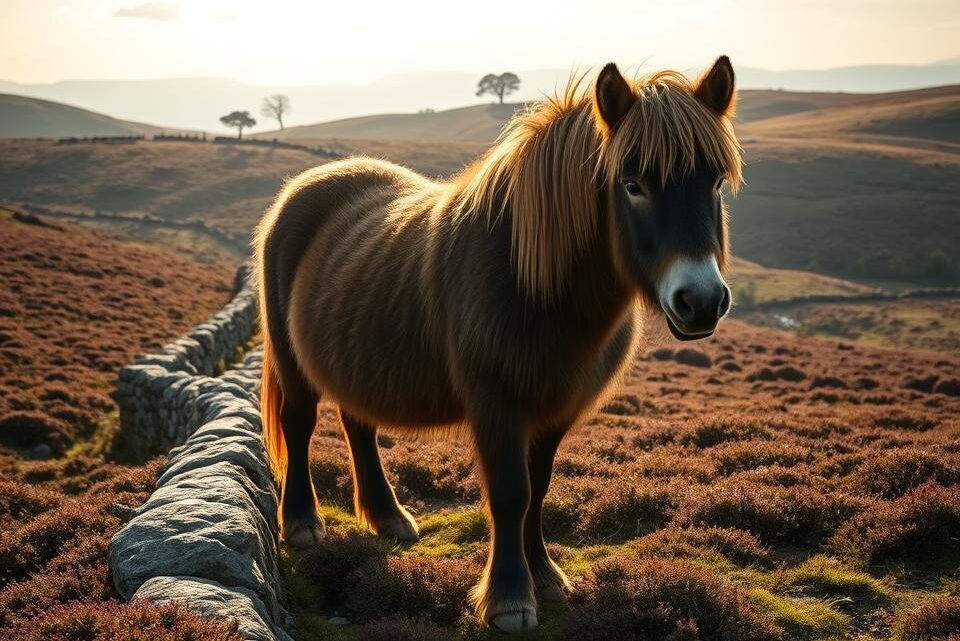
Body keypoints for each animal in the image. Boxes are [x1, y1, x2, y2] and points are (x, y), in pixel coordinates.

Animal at [254, 56, 742, 632]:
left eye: (715, 181)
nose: (702, 300)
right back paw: (303, 525)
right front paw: (509, 598)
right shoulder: (496, 405)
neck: (535, 286)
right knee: (300, 425)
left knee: (359, 425)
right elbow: (511, 493)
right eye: (632, 183)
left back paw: (389, 518)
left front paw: (546, 577)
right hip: (293, 365)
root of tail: (304, 187)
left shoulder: (554, 410)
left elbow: (539, 489)